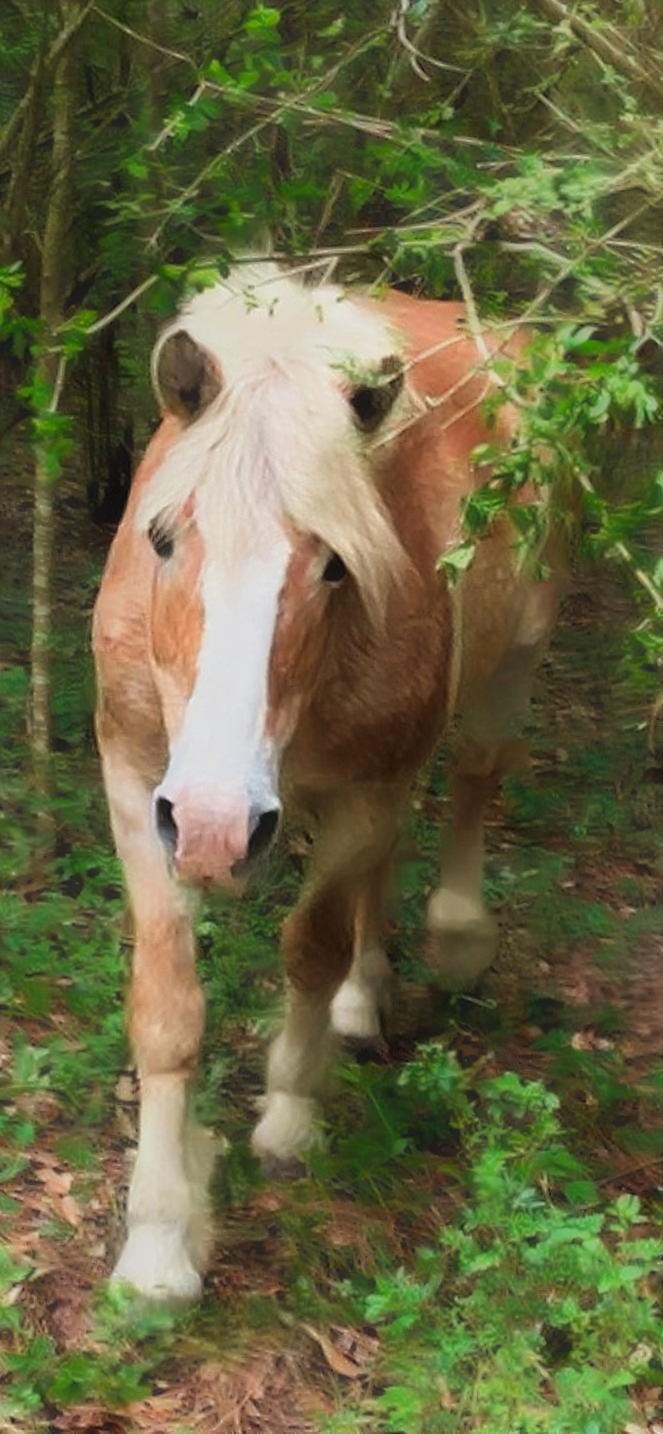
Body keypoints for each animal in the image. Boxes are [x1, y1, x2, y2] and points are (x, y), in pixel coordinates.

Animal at [93, 258, 559, 1302]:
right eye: (162, 539)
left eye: (336, 567)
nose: (217, 829)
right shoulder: (138, 790)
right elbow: (166, 1011)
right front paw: (159, 1243)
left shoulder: (357, 795)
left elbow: (308, 945)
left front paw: (289, 1116)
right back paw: (363, 995)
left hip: (511, 661)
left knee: (471, 780)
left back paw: (449, 942)